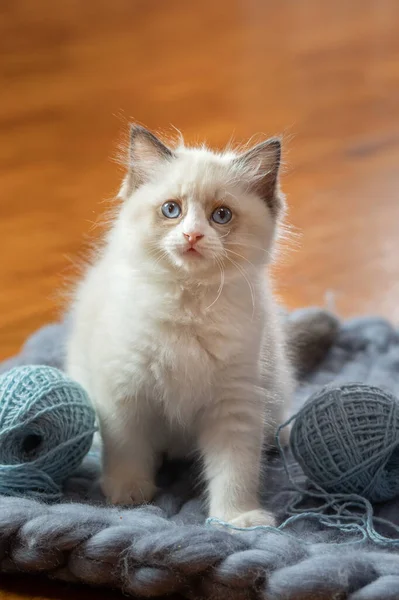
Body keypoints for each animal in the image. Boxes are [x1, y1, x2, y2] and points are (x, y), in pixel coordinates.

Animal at [66, 125, 294, 524]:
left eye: (221, 216)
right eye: (172, 210)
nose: (192, 236)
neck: (188, 302)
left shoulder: (234, 402)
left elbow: (235, 469)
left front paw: (237, 519)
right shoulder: (124, 391)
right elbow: (126, 449)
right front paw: (128, 497)